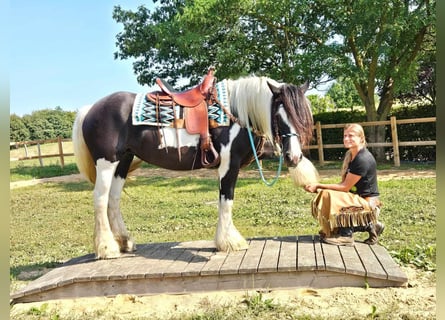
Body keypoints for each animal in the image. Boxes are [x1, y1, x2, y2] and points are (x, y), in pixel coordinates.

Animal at [72, 70, 316, 260]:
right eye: (278, 115)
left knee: (113, 199)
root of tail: (90, 109)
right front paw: (229, 242)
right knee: (101, 199)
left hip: (123, 161)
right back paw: (107, 248)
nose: (293, 157)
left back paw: (124, 242)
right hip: (107, 162)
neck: (238, 112)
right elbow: (226, 200)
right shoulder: (229, 164)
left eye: (303, 117)